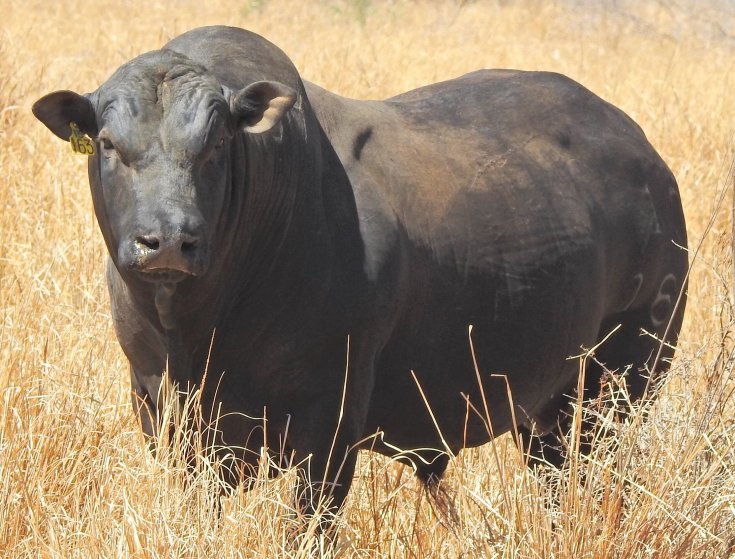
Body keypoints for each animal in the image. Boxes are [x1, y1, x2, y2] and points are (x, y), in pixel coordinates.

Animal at [33, 25, 687, 523]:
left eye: (216, 143)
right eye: (109, 144)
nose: (167, 239)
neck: (200, 329)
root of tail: (647, 160)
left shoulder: (329, 424)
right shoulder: (162, 410)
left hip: (617, 390)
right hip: (548, 416)